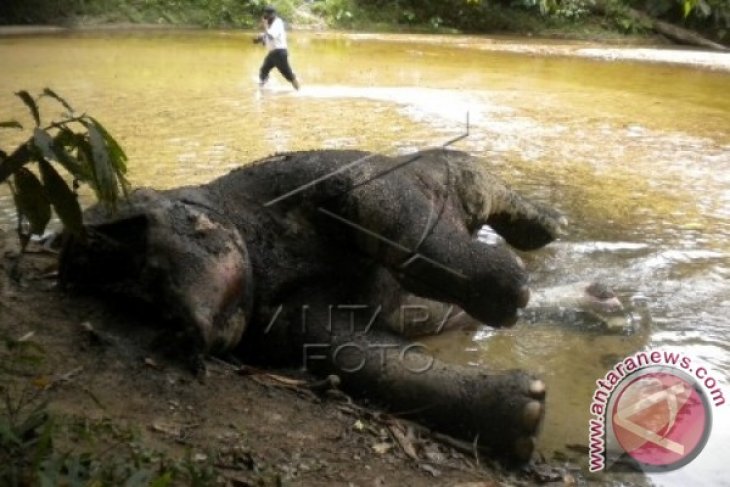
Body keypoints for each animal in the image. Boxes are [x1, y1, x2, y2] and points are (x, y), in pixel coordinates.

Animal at [59, 150, 564, 466]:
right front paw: (529, 413)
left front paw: (512, 292)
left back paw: (547, 233)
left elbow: (406, 232)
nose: (181, 329)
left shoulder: (338, 180)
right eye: (147, 307)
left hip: (452, 176)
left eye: (152, 268)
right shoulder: (302, 319)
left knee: (491, 188)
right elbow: (379, 364)